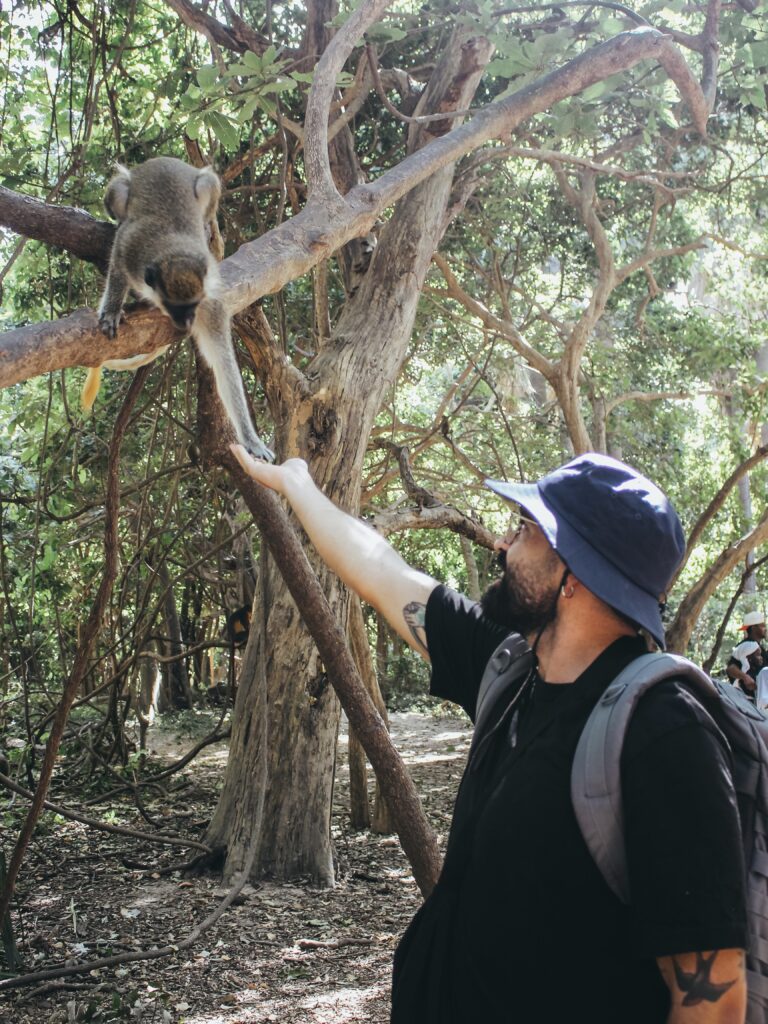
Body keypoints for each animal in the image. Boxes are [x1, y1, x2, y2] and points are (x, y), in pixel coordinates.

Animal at [92, 156, 274, 462]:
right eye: (173, 307)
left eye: (192, 306)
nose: (186, 322)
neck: (171, 247)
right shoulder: (131, 247)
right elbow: (116, 264)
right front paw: (112, 309)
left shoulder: (210, 300)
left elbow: (222, 360)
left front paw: (251, 439)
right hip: (121, 190)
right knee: (118, 192)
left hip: (204, 184)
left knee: (208, 184)